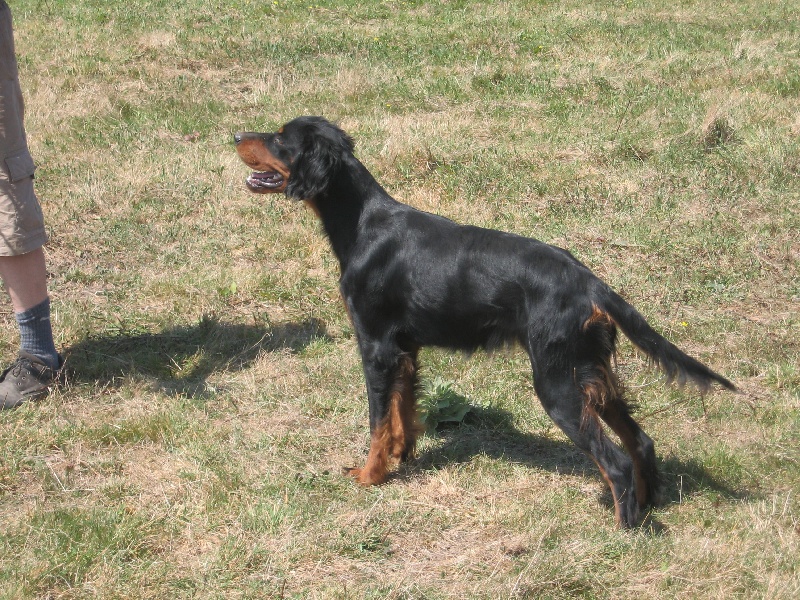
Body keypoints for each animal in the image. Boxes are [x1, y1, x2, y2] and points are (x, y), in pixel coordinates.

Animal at [234, 116, 736, 524]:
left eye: (279, 138)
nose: (236, 135)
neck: (362, 224)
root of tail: (590, 284)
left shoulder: (376, 346)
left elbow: (378, 419)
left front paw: (370, 475)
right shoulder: (404, 348)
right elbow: (402, 410)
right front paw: (402, 456)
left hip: (558, 384)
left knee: (615, 462)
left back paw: (624, 528)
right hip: (590, 372)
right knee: (641, 442)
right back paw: (649, 505)